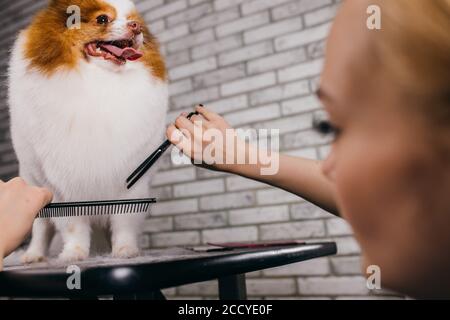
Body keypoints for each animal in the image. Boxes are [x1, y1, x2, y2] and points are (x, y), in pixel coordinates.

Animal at [7, 0, 169, 262]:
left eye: (135, 21)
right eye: (102, 19)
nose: (135, 27)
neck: (100, 81)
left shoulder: (129, 180)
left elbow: (124, 221)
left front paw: (125, 250)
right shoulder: (62, 185)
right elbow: (73, 225)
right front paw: (74, 253)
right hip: (33, 184)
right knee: (41, 228)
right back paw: (33, 255)